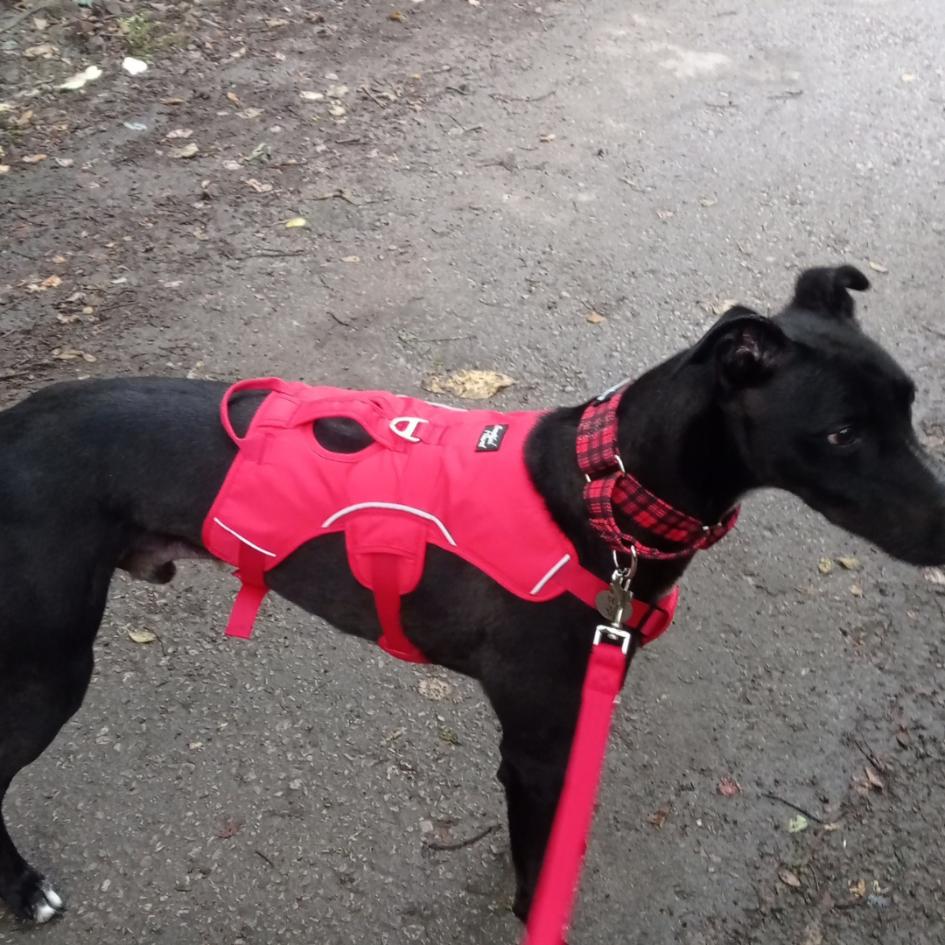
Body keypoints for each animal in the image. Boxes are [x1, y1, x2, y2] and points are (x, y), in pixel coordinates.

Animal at [1, 264, 944, 920]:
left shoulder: (549, 738)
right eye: (841, 431)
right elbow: (536, 875)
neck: (601, 492)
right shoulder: (540, 738)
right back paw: (24, 891)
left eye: (907, 401)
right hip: (47, 670)